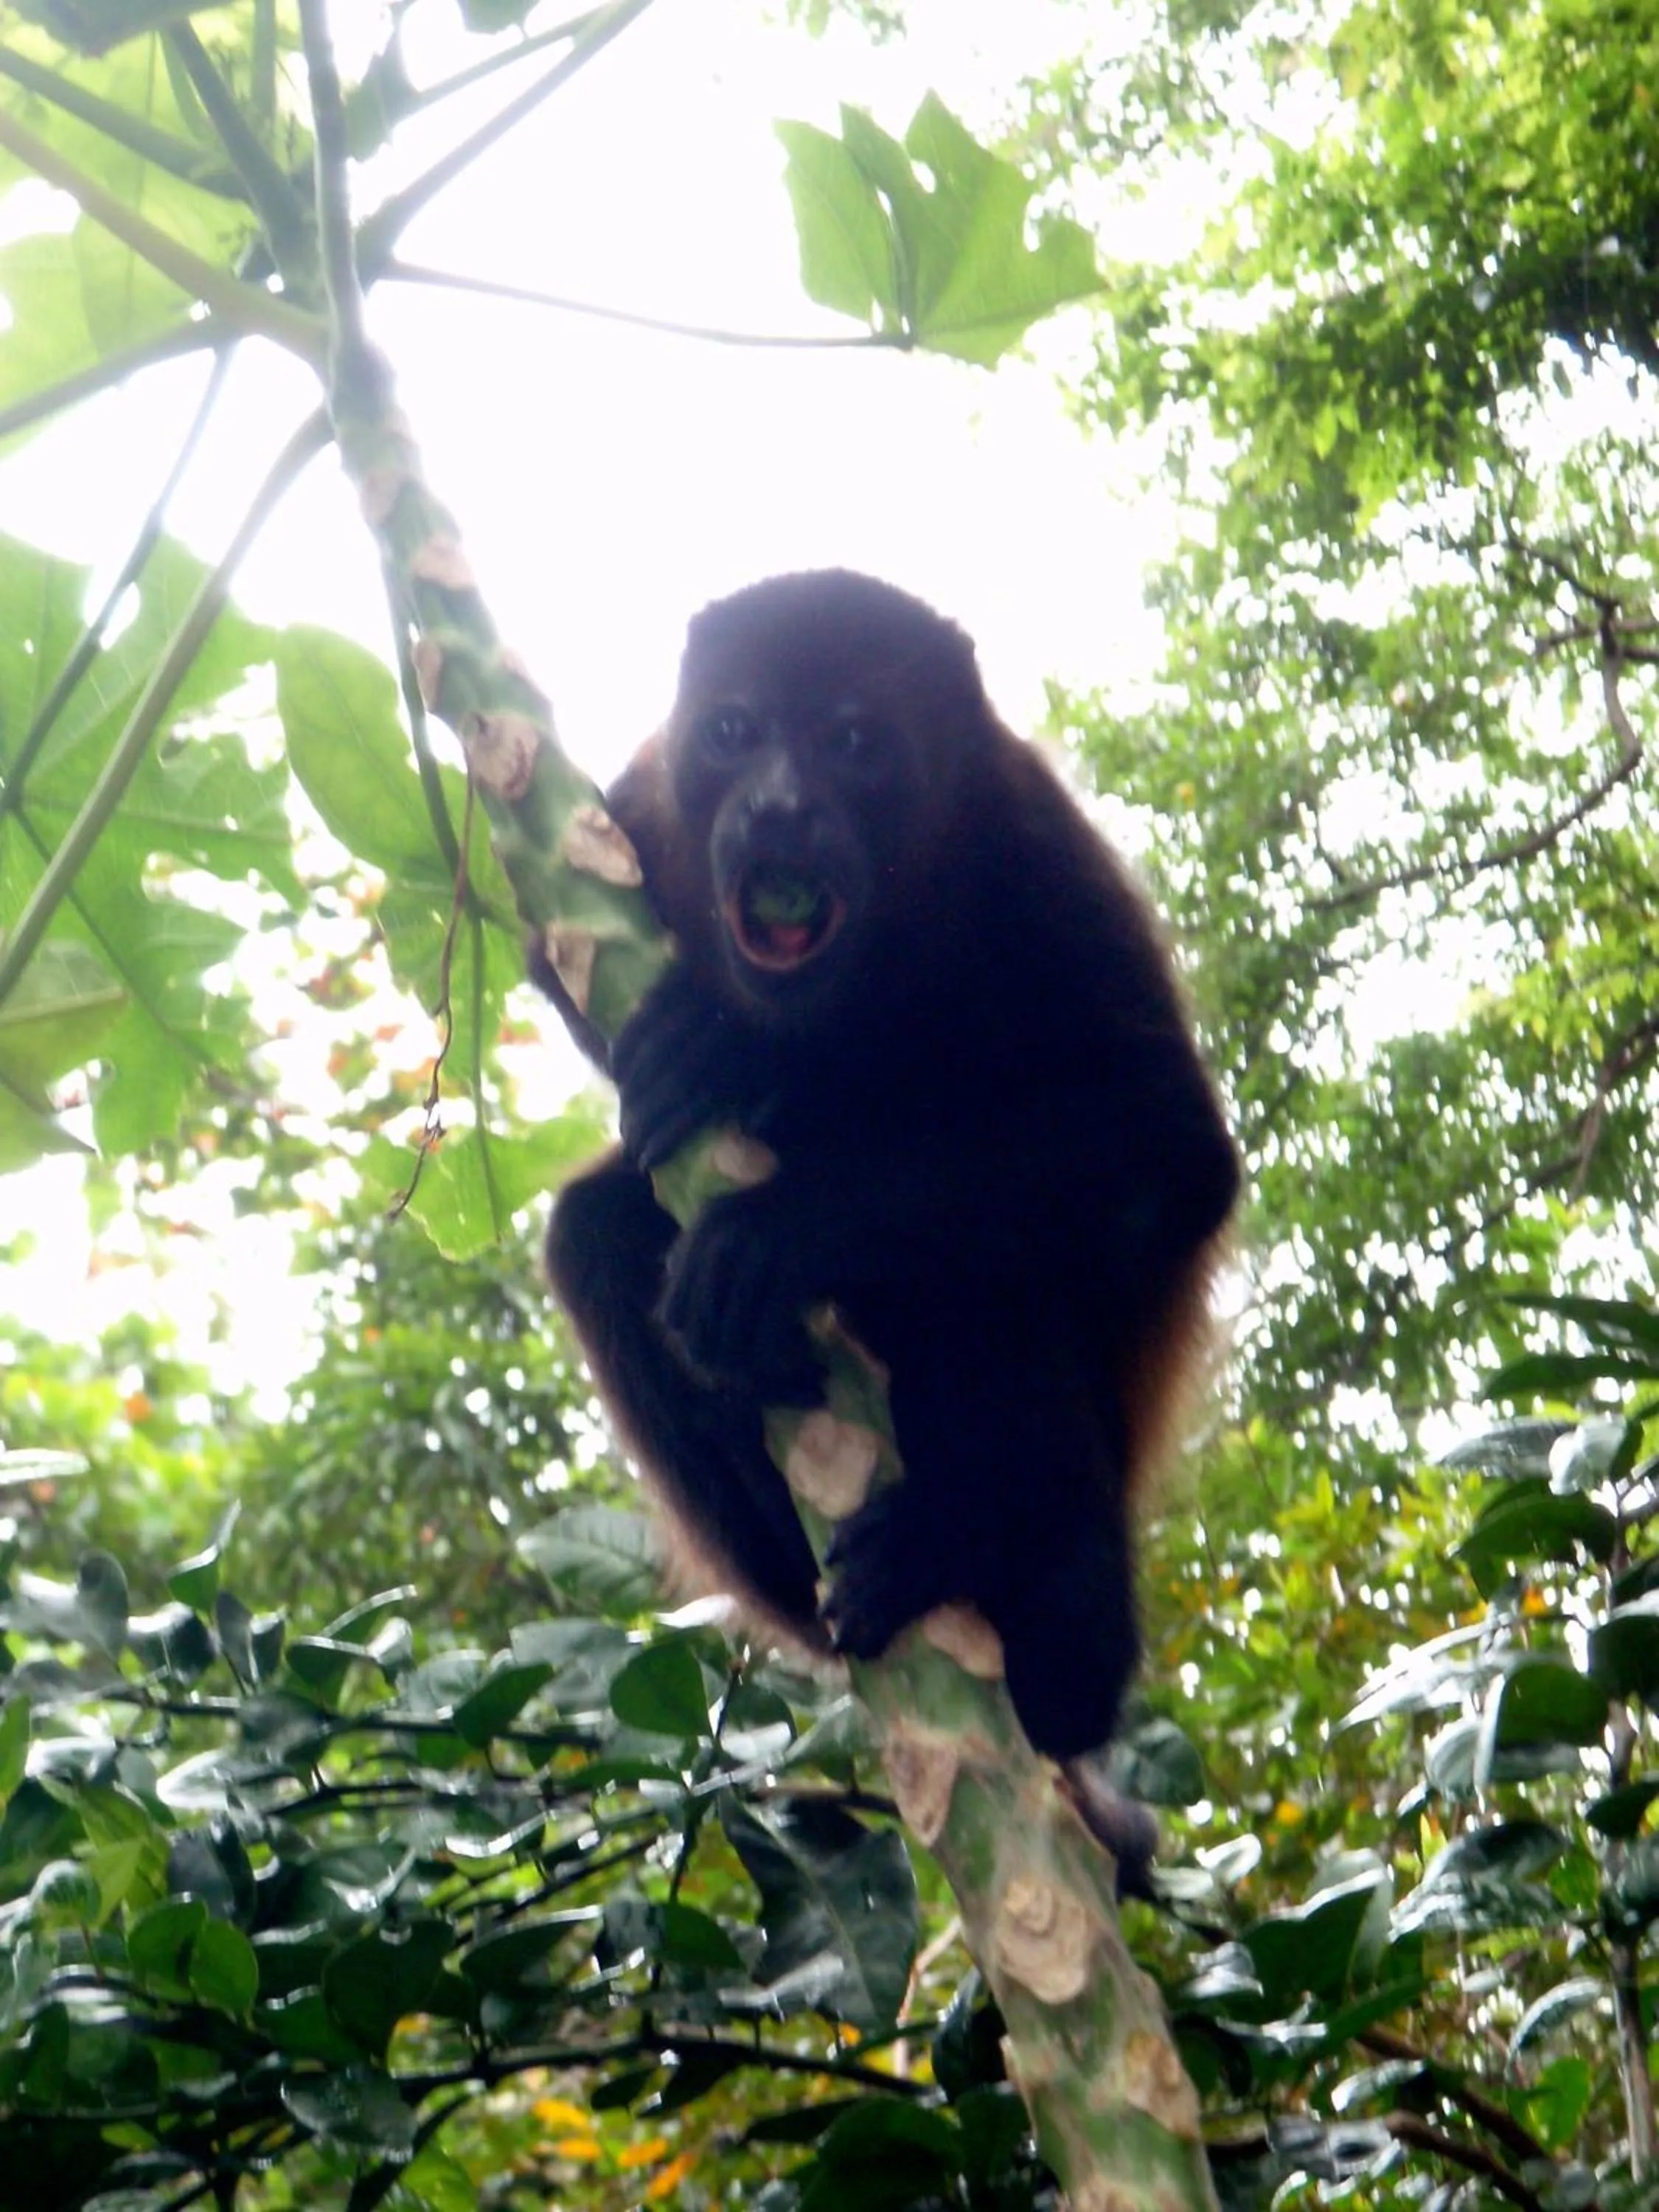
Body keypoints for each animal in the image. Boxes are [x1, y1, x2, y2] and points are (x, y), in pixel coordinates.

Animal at [534, 569, 1238, 1765]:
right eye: (733, 731)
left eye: (852, 741)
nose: (777, 808)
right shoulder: (637, 811)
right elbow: (559, 961)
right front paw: (721, 1053)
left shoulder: (1026, 843)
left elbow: (1168, 1144)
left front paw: (773, 1169)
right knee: (597, 1233)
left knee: (985, 1270)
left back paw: (1007, 1579)